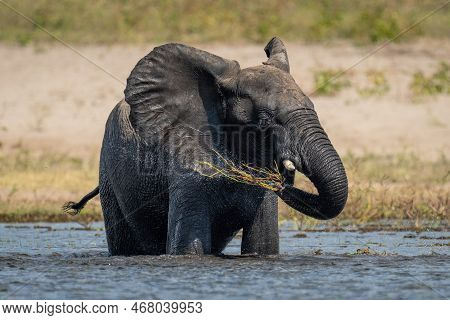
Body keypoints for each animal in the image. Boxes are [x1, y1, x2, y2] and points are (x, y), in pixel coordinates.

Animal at [64, 37, 348, 256]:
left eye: (313, 106)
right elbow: (187, 249)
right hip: (109, 173)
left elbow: (262, 246)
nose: (285, 178)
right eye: (267, 120)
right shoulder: (188, 172)